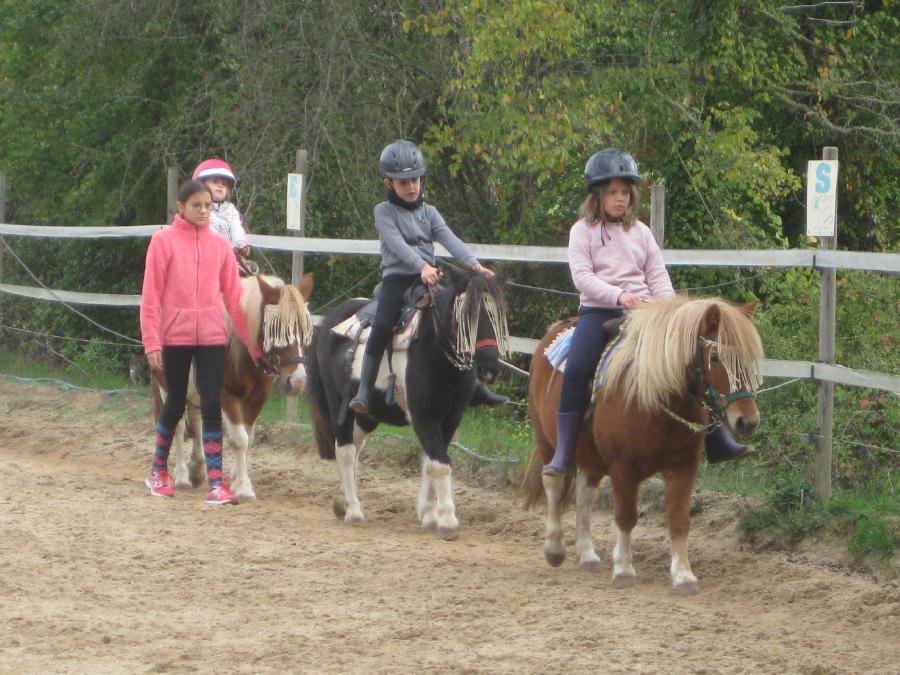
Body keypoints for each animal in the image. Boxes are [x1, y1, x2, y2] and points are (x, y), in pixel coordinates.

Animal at [308, 264, 506, 540]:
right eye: (465, 315)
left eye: (497, 315)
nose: (488, 368)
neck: (434, 351)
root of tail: (329, 321)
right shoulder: (424, 417)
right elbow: (440, 464)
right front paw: (447, 521)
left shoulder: (450, 419)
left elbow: (431, 462)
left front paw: (430, 515)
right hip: (339, 403)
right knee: (346, 451)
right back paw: (354, 511)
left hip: (369, 414)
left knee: (356, 446)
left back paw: (341, 502)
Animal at [524, 298, 764, 596]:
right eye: (715, 358)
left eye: (749, 357)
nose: (747, 421)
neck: (655, 398)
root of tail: (553, 331)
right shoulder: (623, 468)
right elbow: (626, 517)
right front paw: (624, 570)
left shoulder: (684, 467)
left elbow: (679, 520)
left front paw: (683, 575)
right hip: (548, 442)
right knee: (554, 487)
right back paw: (555, 548)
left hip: (590, 457)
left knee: (583, 496)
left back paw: (587, 554)